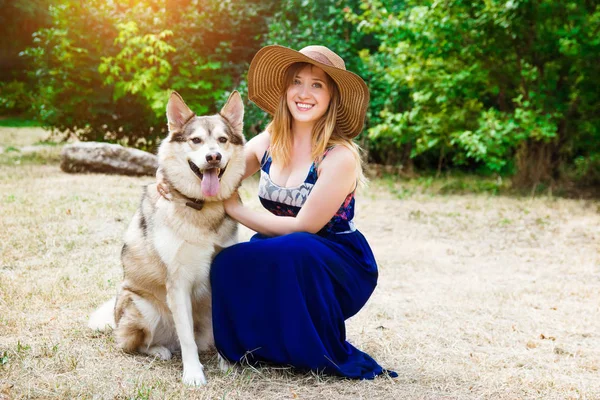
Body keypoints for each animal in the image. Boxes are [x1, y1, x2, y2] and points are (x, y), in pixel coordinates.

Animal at [87, 90, 246, 384]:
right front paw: (193, 374)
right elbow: (186, 339)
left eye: (223, 140)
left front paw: (226, 362)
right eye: (196, 140)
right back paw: (160, 350)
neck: (201, 208)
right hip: (143, 308)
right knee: (135, 344)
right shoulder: (178, 282)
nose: (214, 157)